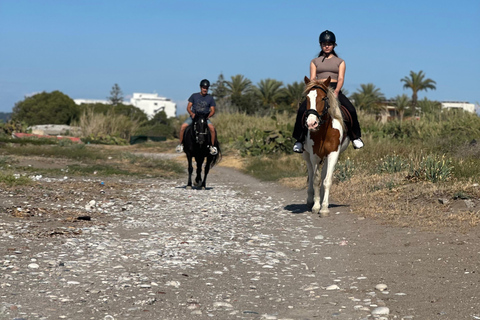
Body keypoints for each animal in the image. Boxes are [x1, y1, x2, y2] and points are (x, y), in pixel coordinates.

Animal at [304, 76, 348, 216]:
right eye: (307, 98)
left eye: (323, 98)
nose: (311, 123)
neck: (323, 130)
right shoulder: (314, 155)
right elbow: (316, 180)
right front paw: (316, 206)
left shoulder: (333, 154)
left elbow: (327, 180)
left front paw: (324, 207)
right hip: (306, 155)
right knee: (311, 174)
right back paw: (310, 199)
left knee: (324, 175)